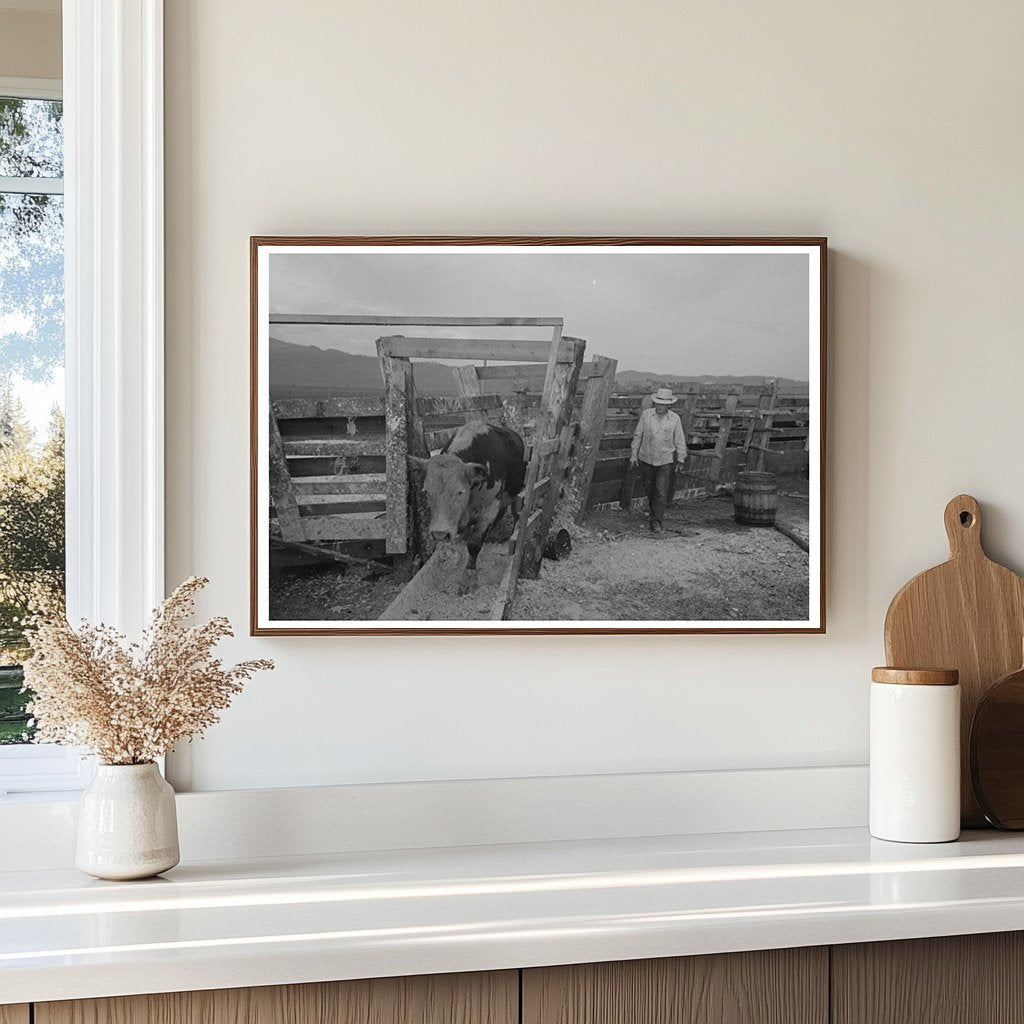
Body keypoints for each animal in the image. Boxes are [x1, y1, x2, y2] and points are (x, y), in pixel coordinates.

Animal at [403, 421, 524, 585]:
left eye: (460, 492)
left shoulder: (489, 508)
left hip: (516, 494)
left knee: (516, 514)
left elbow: (474, 542)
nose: (440, 533)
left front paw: (469, 575)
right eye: (426, 491)